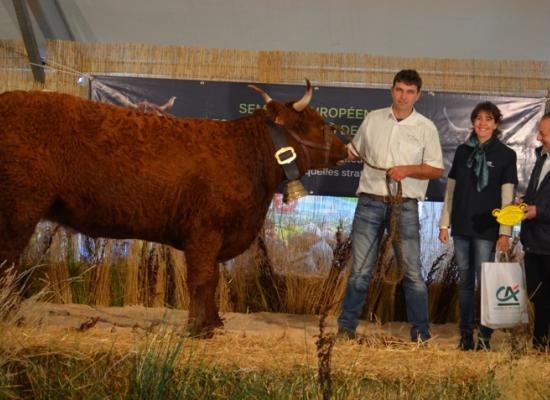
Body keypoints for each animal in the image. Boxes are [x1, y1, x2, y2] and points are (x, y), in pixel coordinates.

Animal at [0, 80, 350, 334]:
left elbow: (213, 280)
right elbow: (203, 280)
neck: (247, 154)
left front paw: (214, 323)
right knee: (8, 261)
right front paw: (200, 329)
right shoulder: (205, 231)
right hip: (19, 209)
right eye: (320, 125)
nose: (346, 148)